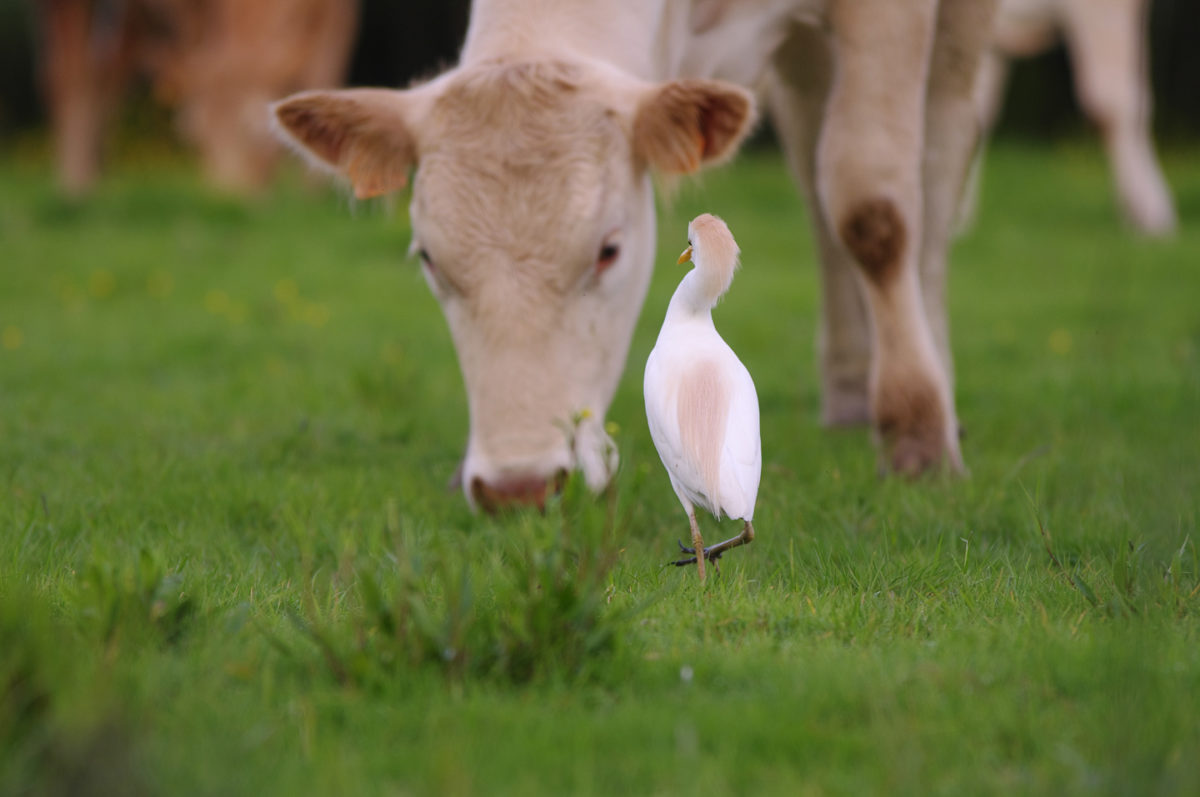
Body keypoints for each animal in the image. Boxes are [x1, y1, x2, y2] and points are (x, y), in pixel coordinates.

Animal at [35, 0, 357, 194]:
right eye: (193, 136)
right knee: (73, 75)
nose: (228, 200)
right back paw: (77, 186)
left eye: (257, 135)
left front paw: (314, 192)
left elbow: (325, 68)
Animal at [276, 0, 998, 511]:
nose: (519, 488)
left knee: (935, 160)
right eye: (429, 258)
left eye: (608, 251)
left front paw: (918, 437)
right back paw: (852, 391)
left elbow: (872, 208)